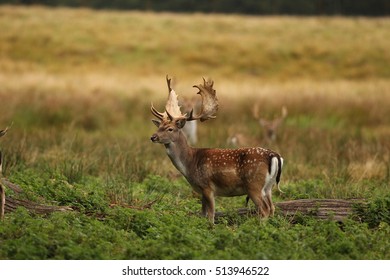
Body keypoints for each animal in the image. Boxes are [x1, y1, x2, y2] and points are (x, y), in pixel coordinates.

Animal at [150, 76, 284, 223]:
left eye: (170, 129)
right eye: (159, 126)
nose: (153, 137)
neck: (190, 163)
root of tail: (275, 155)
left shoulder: (207, 187)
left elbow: (211, 215)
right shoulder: (201, 191)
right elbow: (203, 214)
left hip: (254, 184)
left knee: (264, 209)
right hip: (269, 187)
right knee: (272, 208)